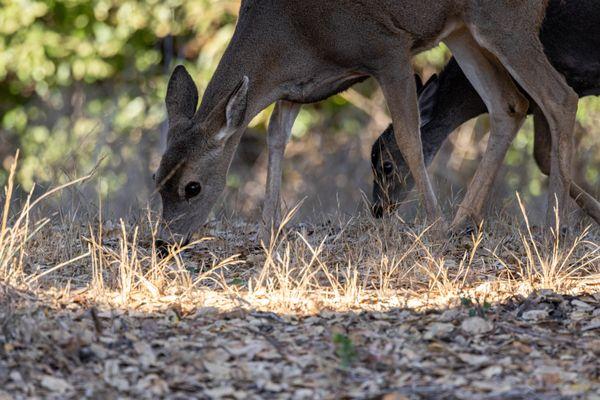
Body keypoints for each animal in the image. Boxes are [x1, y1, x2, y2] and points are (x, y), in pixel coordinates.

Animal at [155, 0, 576, 245]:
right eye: (157, 179)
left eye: (192, 187)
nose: (164, 242)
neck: (291, 37)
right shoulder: (298, 89)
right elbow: (277, 136)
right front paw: (268, 229)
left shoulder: (386, 47)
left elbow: (408, 136)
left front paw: (434, 227)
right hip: (461, 29)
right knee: (509, 104)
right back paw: (464, 222)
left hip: (504, 22)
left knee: (559, 97)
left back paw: (552, 230)